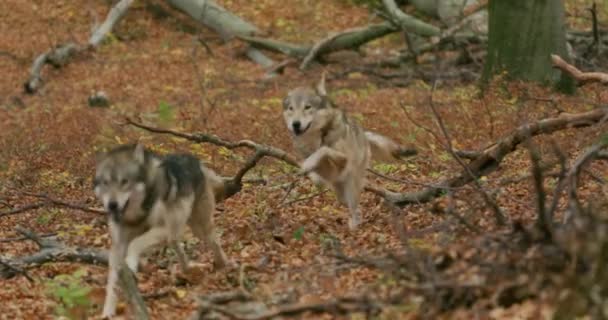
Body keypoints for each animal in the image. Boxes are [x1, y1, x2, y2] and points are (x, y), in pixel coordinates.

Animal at [94, 144, 229, 318]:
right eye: (105, 183)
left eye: (124, 181)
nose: (112, 205)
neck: (136, 215)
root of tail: (197, 161)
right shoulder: (118, 244)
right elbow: (113, 282)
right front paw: (107, 312)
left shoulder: (162, 230)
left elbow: (135, 244)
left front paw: (131, 264)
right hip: (177, 231)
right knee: (178, 246)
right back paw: (187, 270)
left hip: (199, 228)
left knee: (215, 243)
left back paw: (224, 265)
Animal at [282, 75, 416, 230]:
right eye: (291, 108)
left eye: (307, 107)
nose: (295, 124)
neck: (316, 137)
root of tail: (364, 136)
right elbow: (314, 168)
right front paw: (313, 174)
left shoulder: (342, 159)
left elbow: (322, 150)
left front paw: (309, 164)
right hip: (341, 194)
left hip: (352, 187)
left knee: (356, 209)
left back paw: (354, 228)